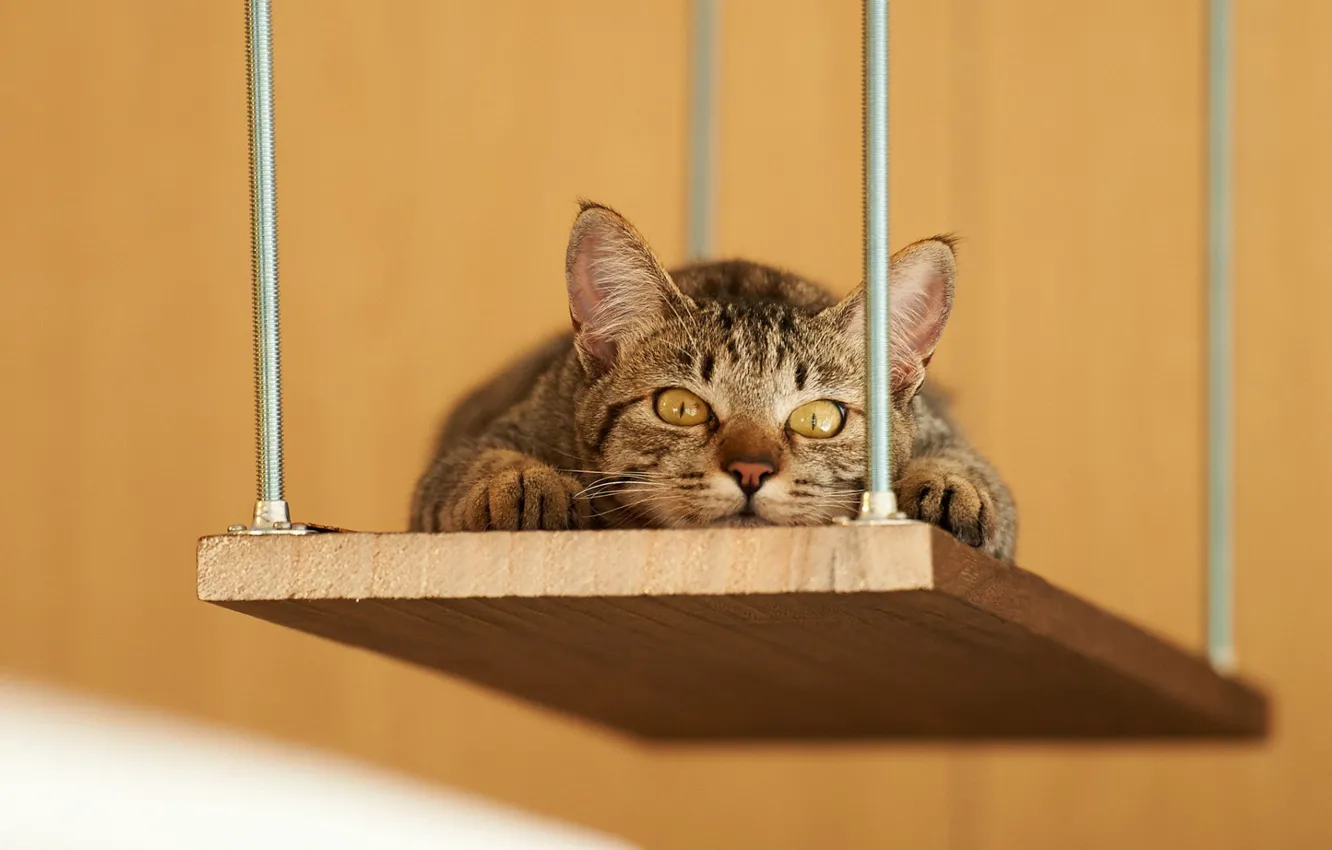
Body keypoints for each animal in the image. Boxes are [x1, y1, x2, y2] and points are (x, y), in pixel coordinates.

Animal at [410, 198, 1012, 559]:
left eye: (819, 419)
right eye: (680, 408)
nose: (751, 470)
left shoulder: (946, 434)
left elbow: (974, 474)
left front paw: (952, 490)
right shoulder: (484, 440)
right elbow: (478, 464)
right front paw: (524, 484)